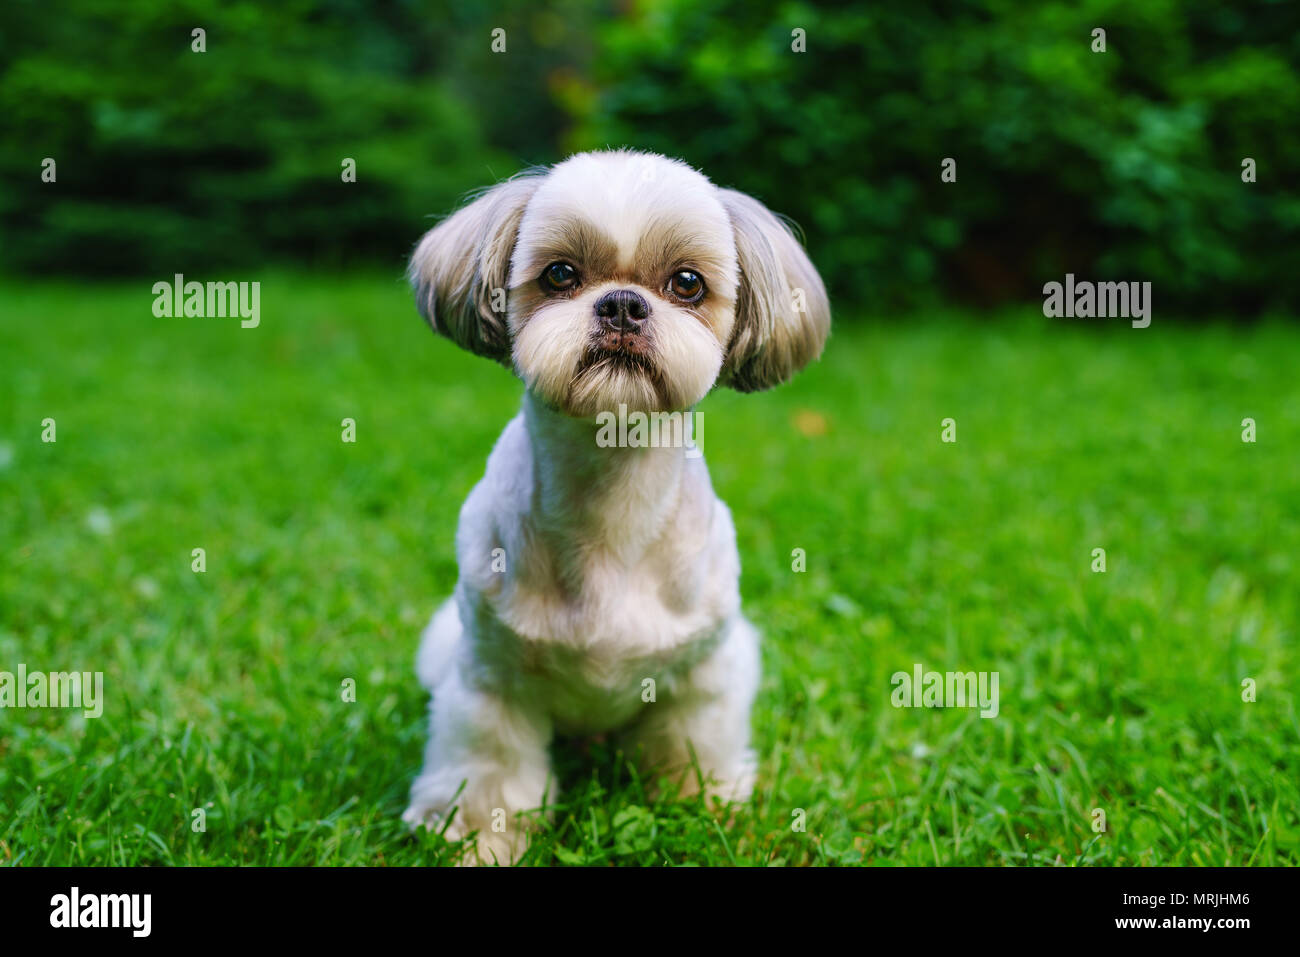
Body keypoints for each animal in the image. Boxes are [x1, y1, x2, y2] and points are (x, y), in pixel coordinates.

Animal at [400, 151, 832, 868]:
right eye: (560, 274)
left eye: (686, 283)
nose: (624, 304)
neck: (610, 510)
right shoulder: (491, 680)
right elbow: (490, 773)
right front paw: (479, 839)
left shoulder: (705, 673)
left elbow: (694, 747)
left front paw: (703, 809)